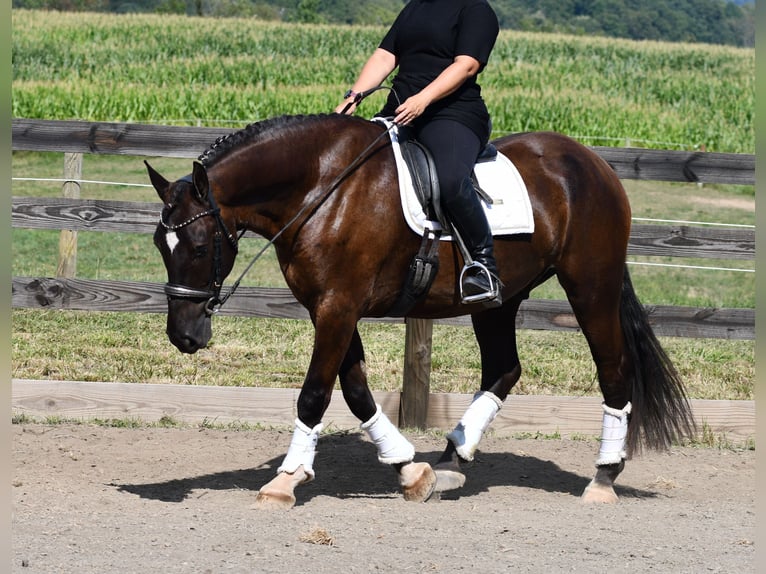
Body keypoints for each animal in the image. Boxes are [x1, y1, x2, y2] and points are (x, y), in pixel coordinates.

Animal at [147, 112, 700, 508]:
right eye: (159, 244)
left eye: (199, 246)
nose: (184, 336)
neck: (322, 187)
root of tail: (592, 162)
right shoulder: (331, 307)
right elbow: (356, 392)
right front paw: (411, 470)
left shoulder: (338, 307)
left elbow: (315, 395)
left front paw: (285, 480)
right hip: (499, 301)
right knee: (505, 368)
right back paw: (455, 459)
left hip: (591, 287)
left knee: (613, 369)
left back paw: (603, 477)